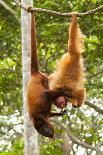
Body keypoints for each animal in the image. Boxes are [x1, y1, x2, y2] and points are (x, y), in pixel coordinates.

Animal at [26, 7, 72, 138]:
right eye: (42, 131)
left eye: (44, 127)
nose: (47, 132)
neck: (38, 117)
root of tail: (34, 74)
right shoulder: (45, 114)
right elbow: (50, 113)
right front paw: (59, 114)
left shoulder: (42, 106)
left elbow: (46, 94)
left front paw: (65, 92)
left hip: (43, 78)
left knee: (47, 86)